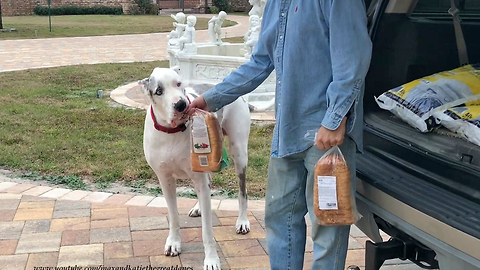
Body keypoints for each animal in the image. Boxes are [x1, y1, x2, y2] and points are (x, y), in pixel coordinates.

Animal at [140, 67, 249, 270]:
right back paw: (198, 207)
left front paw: (212, 260)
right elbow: (173, 216)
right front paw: (173, 243)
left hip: (239, 153)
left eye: (178, 83)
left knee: (242, 192)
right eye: (158, 91)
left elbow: (207, 230)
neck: (172, 131)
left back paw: (242, 221)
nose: (181, 104)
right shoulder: (165, 180)